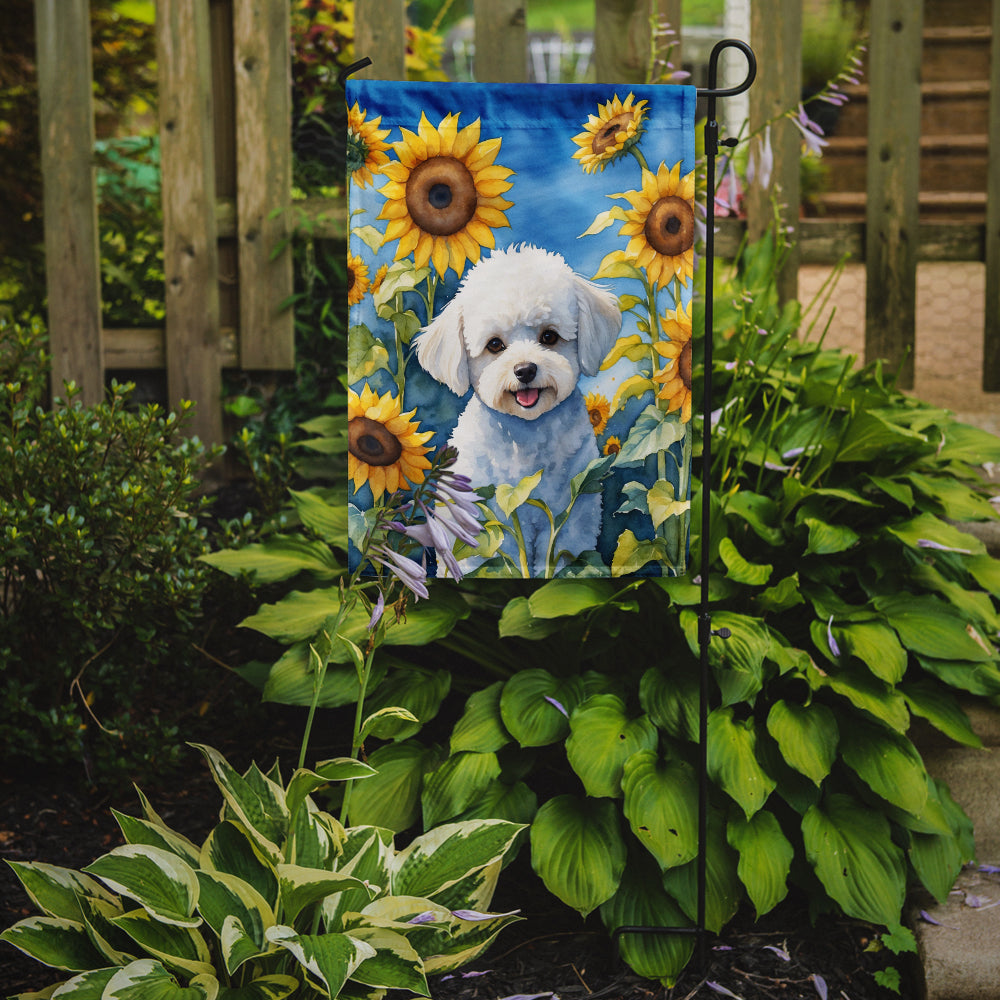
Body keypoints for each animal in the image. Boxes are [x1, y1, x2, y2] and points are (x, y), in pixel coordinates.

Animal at [412, 242, 616, 576]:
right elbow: (490, 557)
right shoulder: (485, 517)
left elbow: (559, 557)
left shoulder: (572, 516)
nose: (525, 370)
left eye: (549, 336)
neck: (526, 436)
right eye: (495, 345)